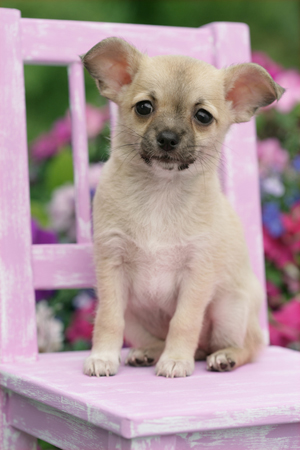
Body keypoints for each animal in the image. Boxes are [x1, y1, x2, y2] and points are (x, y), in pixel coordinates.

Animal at [81, 37, 284, 376]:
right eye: (144, 108)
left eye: (202, 116)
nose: (167, 137)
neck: (161, 192)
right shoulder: (111, 267)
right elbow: (108, 319)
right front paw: (103, 357)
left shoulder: (197, 273)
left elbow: (184, 321)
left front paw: (176, 360)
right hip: (136, 315)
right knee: (152, 337)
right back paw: (147, 352)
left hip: (230, 309)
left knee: (250, 347)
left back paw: (223, 356)